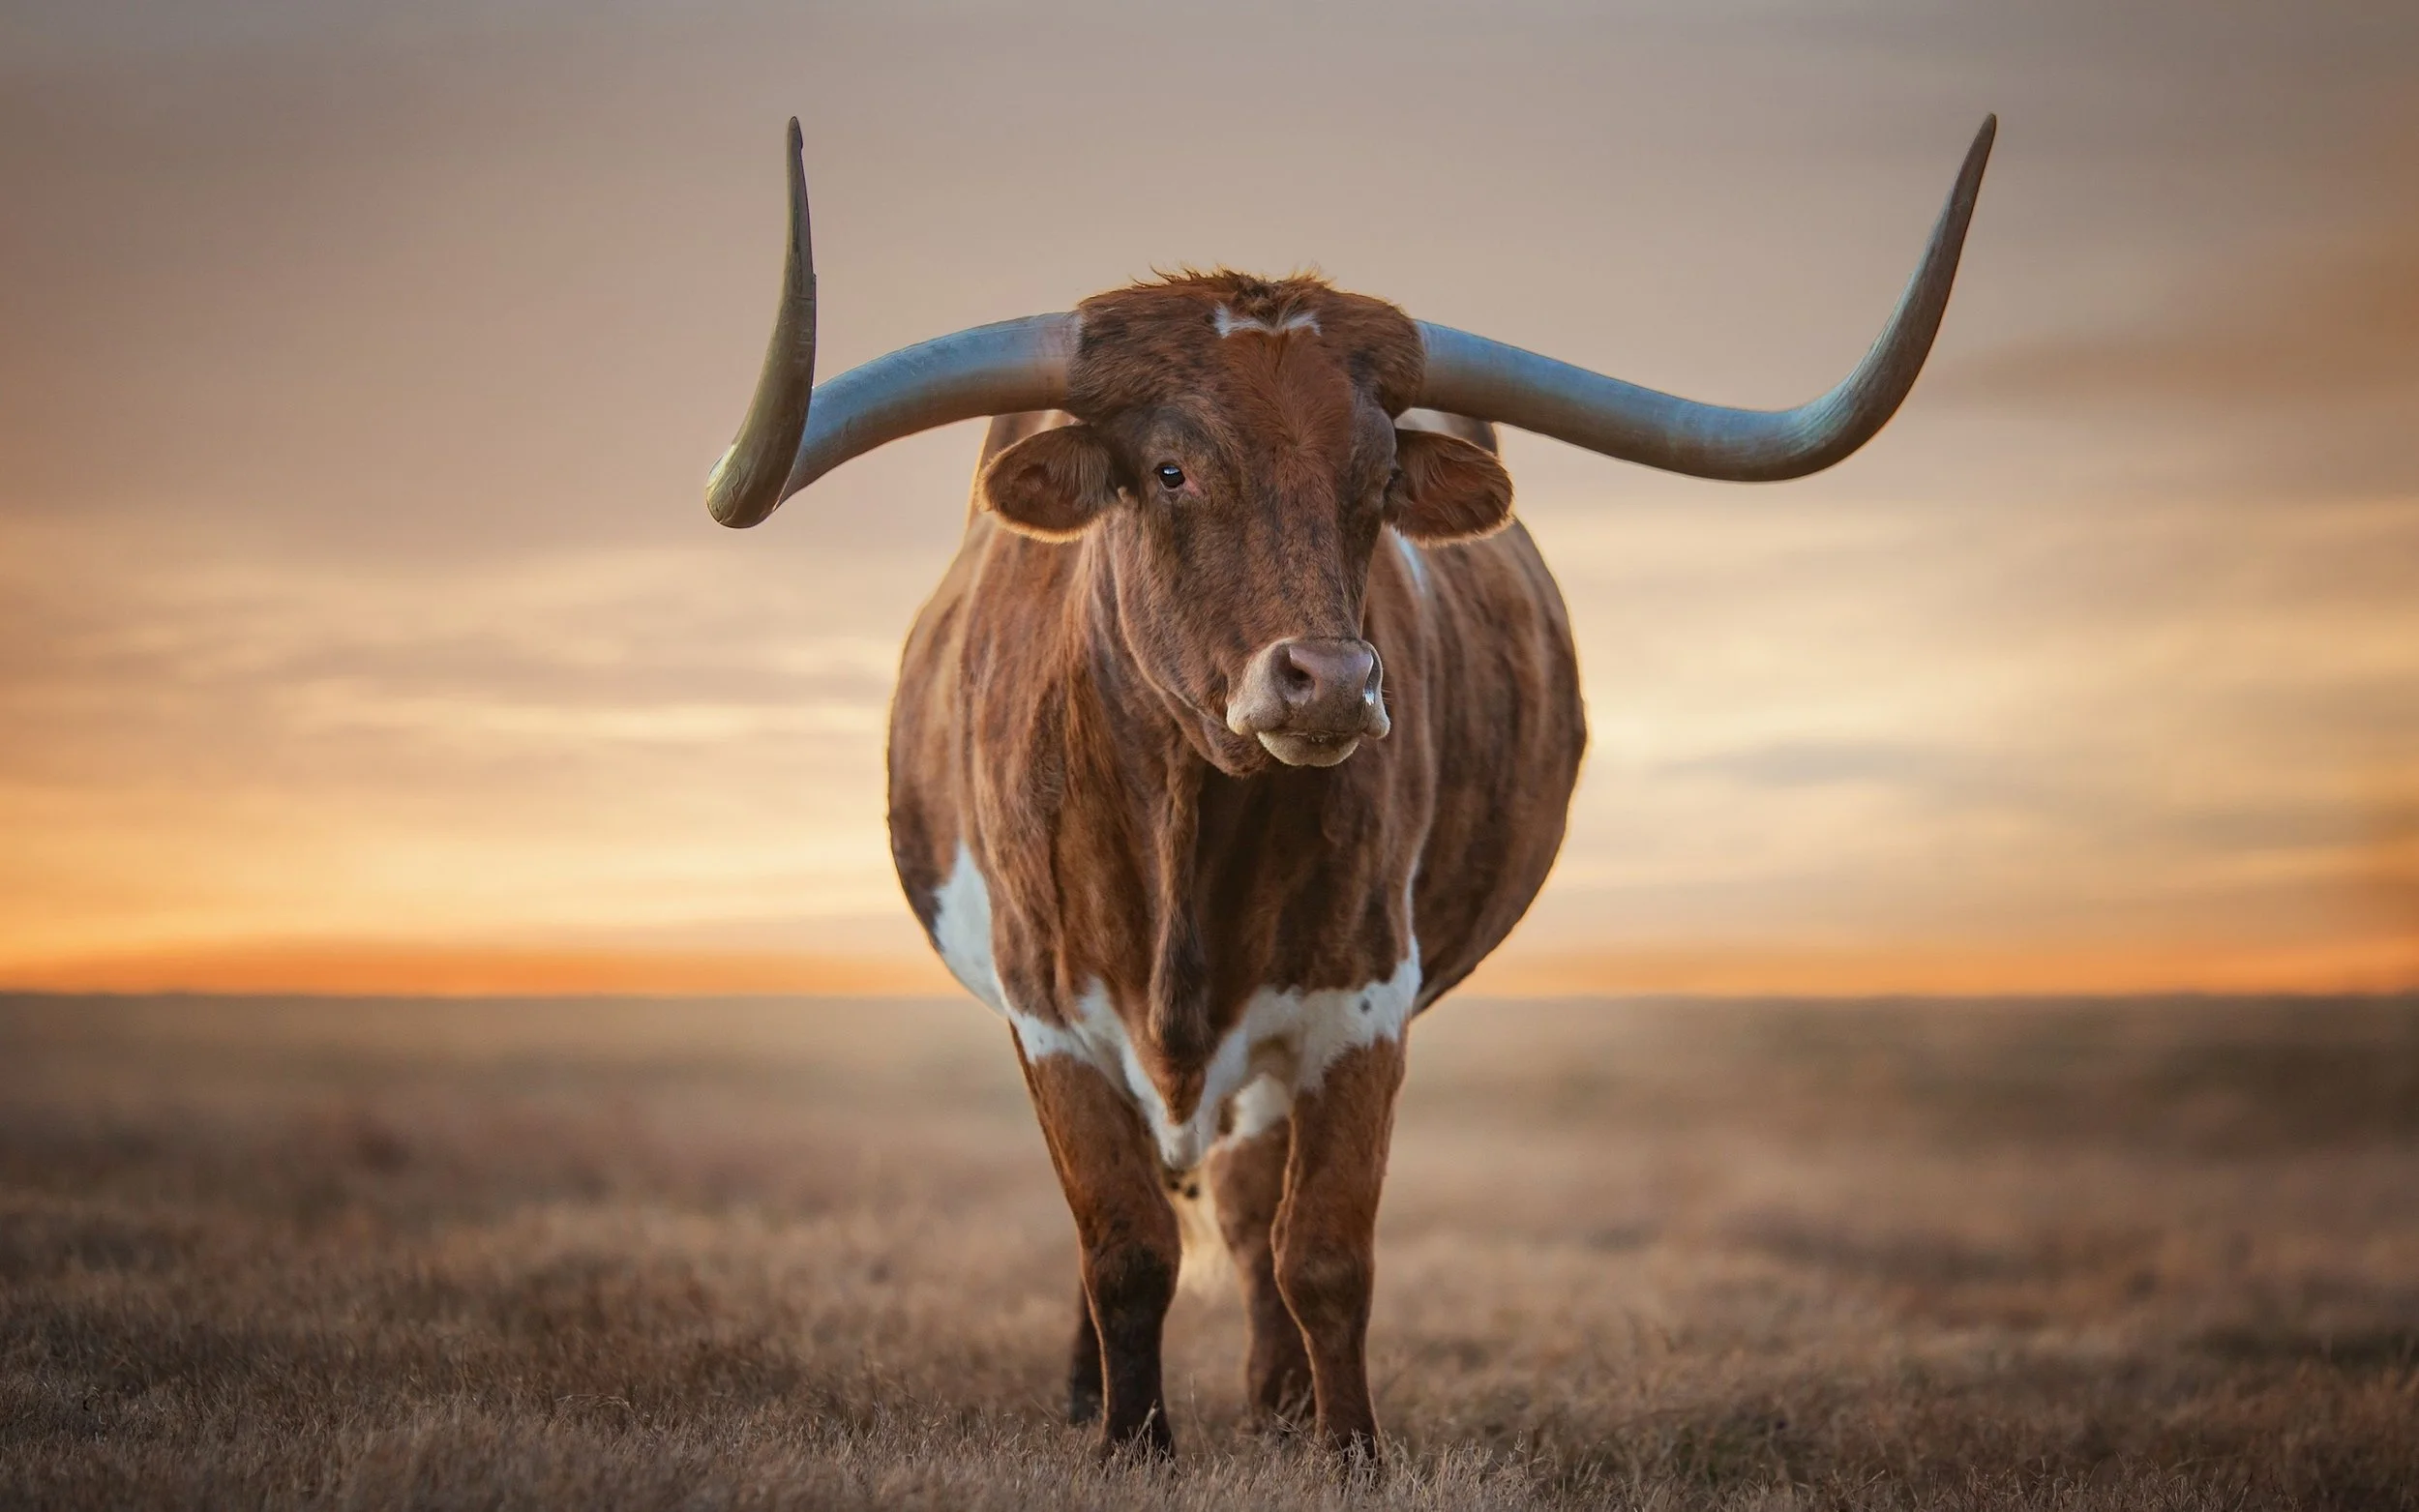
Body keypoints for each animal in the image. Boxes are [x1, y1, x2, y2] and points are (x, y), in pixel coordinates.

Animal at [703, 115, 1994, 1461]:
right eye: (1169, 469)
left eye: (1375, 482)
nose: (1327, 682)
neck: (1184, 818)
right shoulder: (1046, 1006)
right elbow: (1122, 1246)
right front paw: (1131, 1441)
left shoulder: (1358, 1000)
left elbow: (1321, 1251)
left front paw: (1343, 1448)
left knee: (1249, 1209)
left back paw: (1275, 1407)